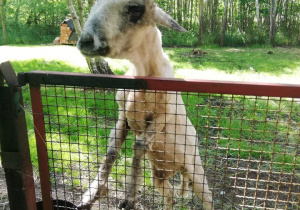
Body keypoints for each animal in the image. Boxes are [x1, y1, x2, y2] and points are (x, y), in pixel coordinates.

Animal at [77, 0, 213, 209]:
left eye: (135, 9)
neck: (143, 73)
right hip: (158, 177)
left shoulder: (164, 115)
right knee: (170, 195)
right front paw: (91, 195)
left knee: (208, 197)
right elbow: (112, 151)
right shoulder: (123, 115)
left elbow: (139, 146)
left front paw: (129, 197)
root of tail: (178, 170)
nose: (85, 41)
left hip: (195, 169)